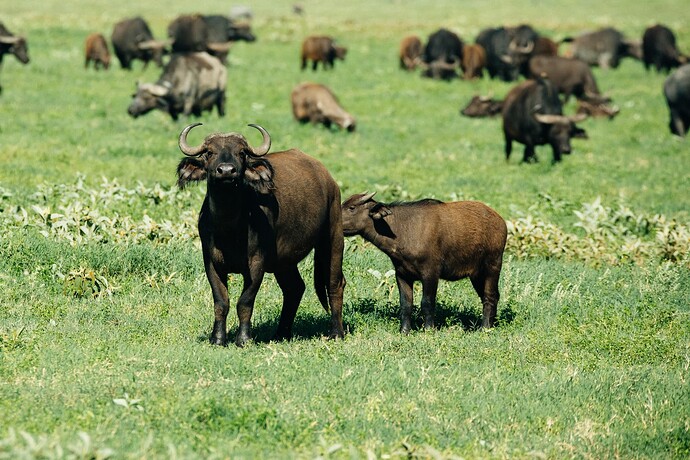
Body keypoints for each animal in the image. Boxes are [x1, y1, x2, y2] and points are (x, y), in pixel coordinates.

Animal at [176, 123, 346, 346]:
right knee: (294, 288)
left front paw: (244, 339)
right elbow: (221, 301)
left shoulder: (257, 263)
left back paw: (336, 332)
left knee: (334, 284)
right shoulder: (211, 262)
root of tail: (329, 180)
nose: (226, 171)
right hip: (284, 261)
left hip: (333, 238)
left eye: (241, 153)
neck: (229, 227)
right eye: (209, 152)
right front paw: (218, 338)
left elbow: (245, 302)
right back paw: (281, 333)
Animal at [342, 192, 507, 332]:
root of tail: (501, 222)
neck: (403, 230)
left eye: (352, 207)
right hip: (476, 275)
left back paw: (485, 328)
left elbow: (427, 302)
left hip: (492, 266)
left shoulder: (430, 273)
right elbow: (406, 304)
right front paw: (404, 331)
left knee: (490, 296)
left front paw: (428, 330)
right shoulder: (402, 274)